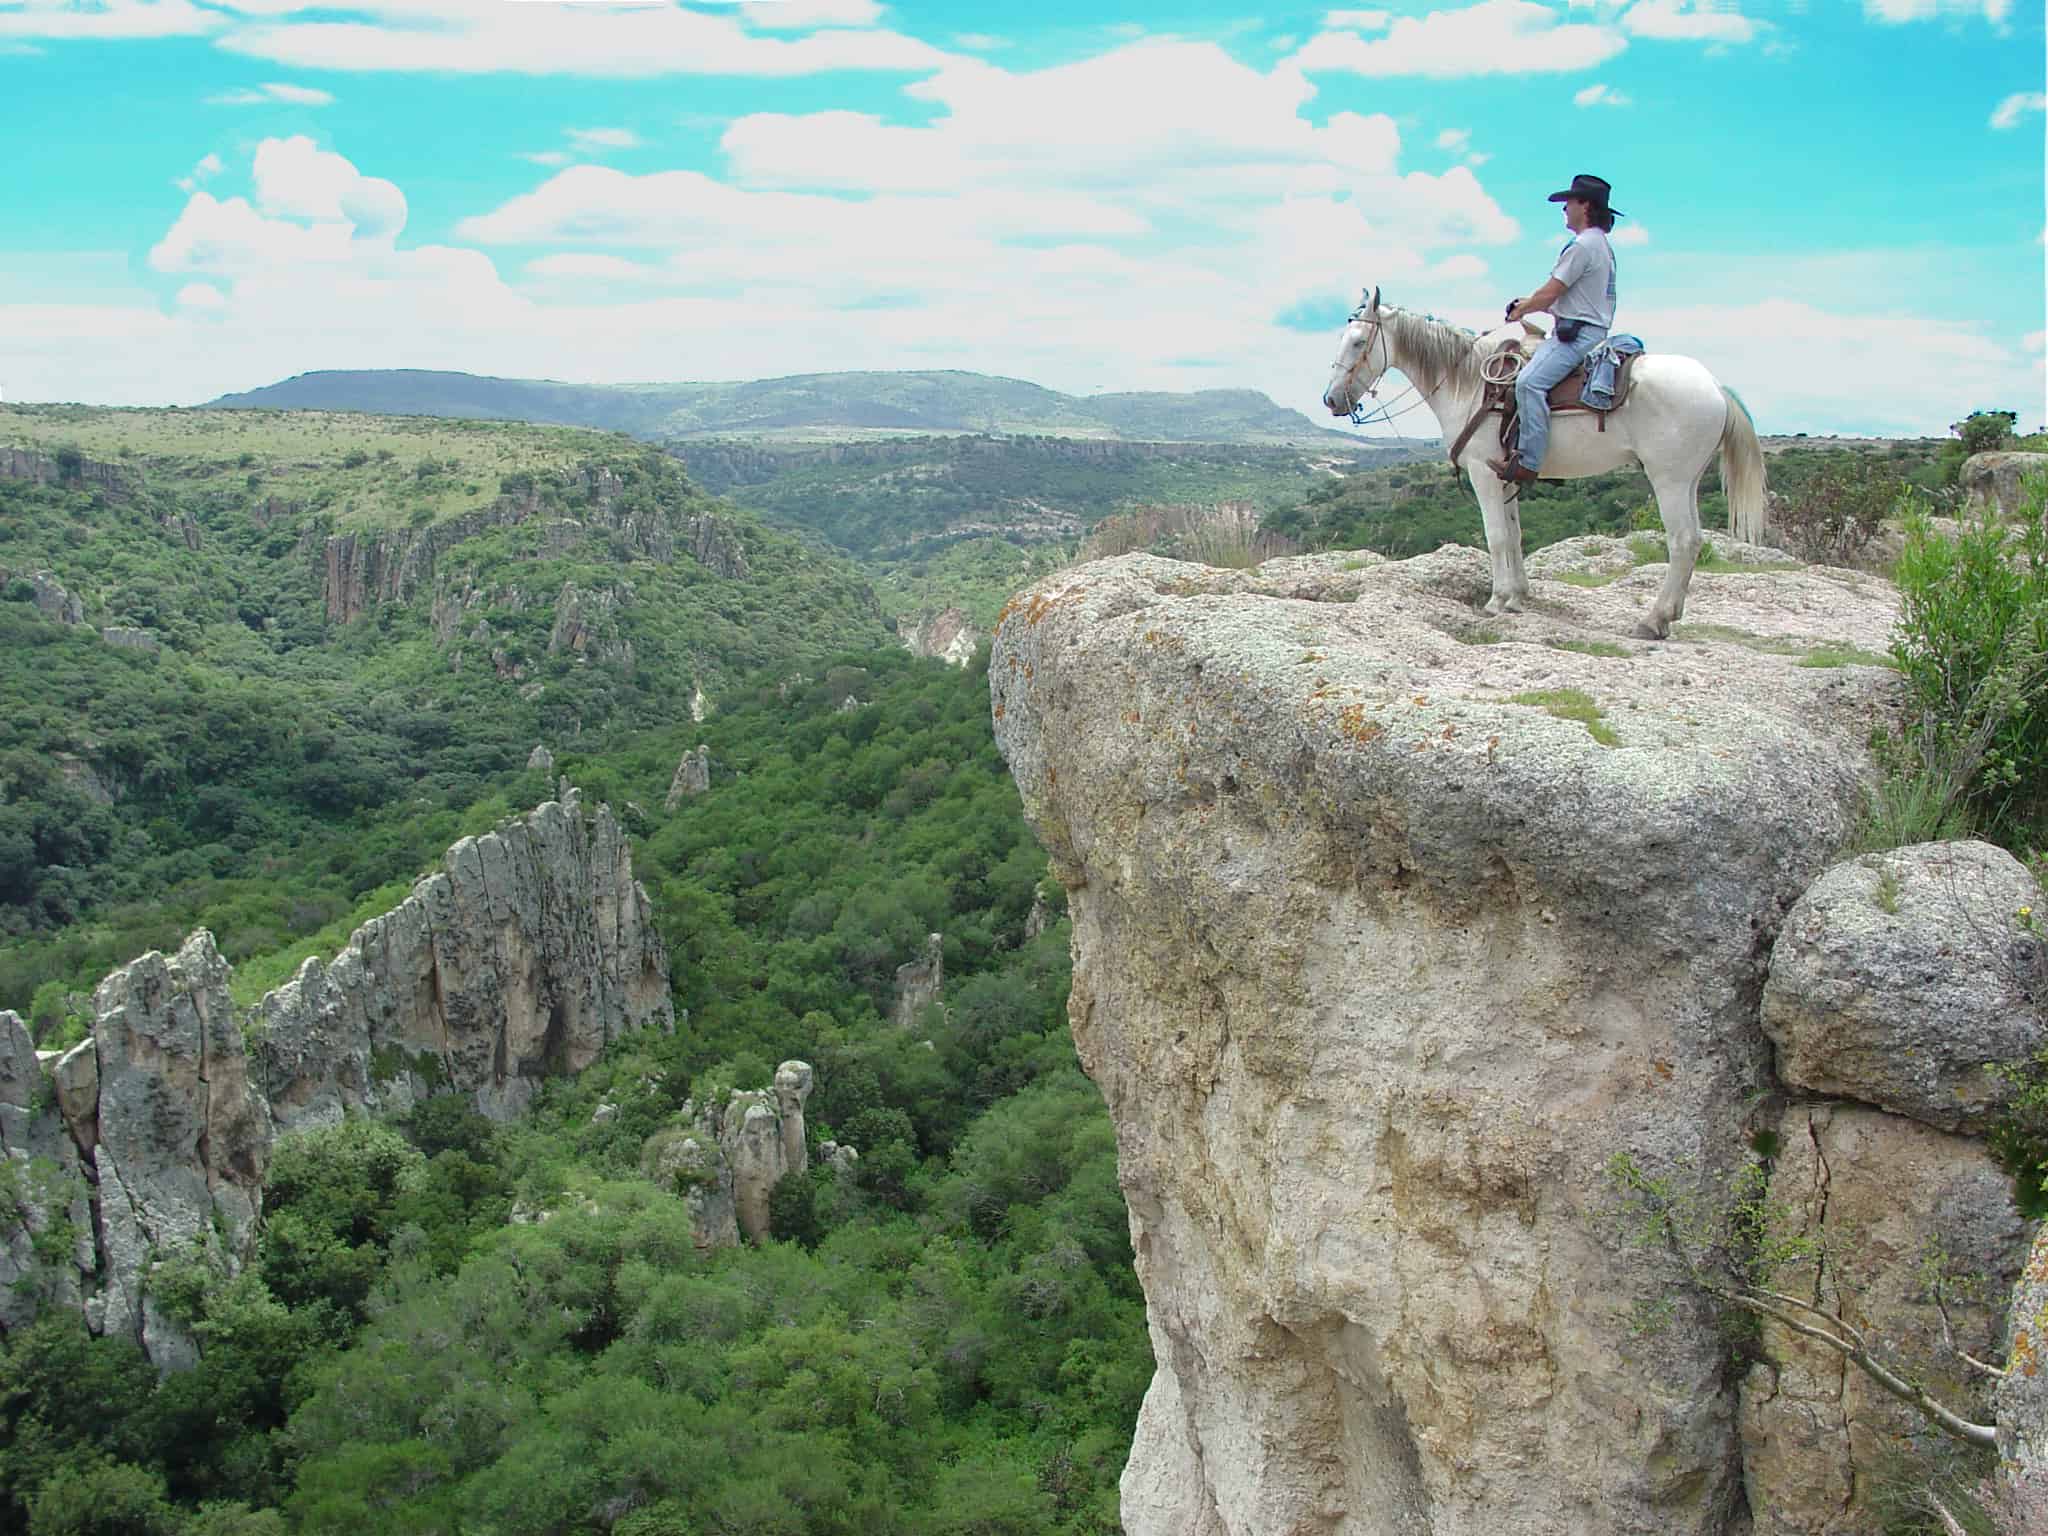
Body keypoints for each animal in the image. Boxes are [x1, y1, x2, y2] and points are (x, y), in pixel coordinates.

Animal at [1318, 290, 1769, 643]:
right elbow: (1515, 536)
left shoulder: (1483, 472)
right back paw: (1668, 615)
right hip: (1688, 480)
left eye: (1359, 341)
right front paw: (1518, 596)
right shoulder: (1505, 474)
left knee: (1682, 541)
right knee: (1693, 541)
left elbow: (1496, 537)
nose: (1331, 400)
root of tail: (1716, 387)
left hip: (1668, 479)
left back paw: (1653, 620)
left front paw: (1497, 600)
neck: (1468, 384)